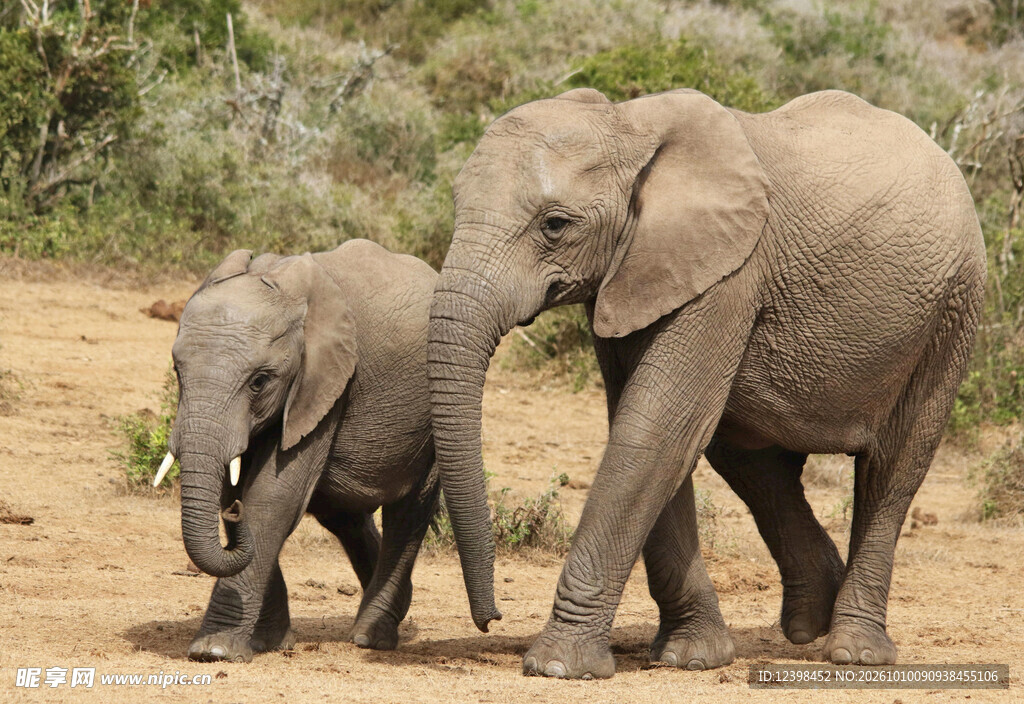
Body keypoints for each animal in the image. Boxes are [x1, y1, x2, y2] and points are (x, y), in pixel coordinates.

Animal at [158, 239, 439, 662]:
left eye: (259, 382)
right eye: (177, 371)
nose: (233, 514)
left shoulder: (325, 383)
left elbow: (274, 497)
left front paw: (214, 651)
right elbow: (243, 489)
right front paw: (270, 643)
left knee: (408, 512)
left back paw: (370, 637)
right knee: (343, 514)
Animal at [427, 87, 985, 678]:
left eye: (554, 225)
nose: (492, 619)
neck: (628, 123)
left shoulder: (728, 276)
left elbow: (656, 431)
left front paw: (558, 667)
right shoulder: (636, 274)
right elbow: (650, 431)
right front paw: (691, 657)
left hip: (952, 312)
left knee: (891, 471)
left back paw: (853, 652)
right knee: (754, 464)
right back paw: (810, 624)